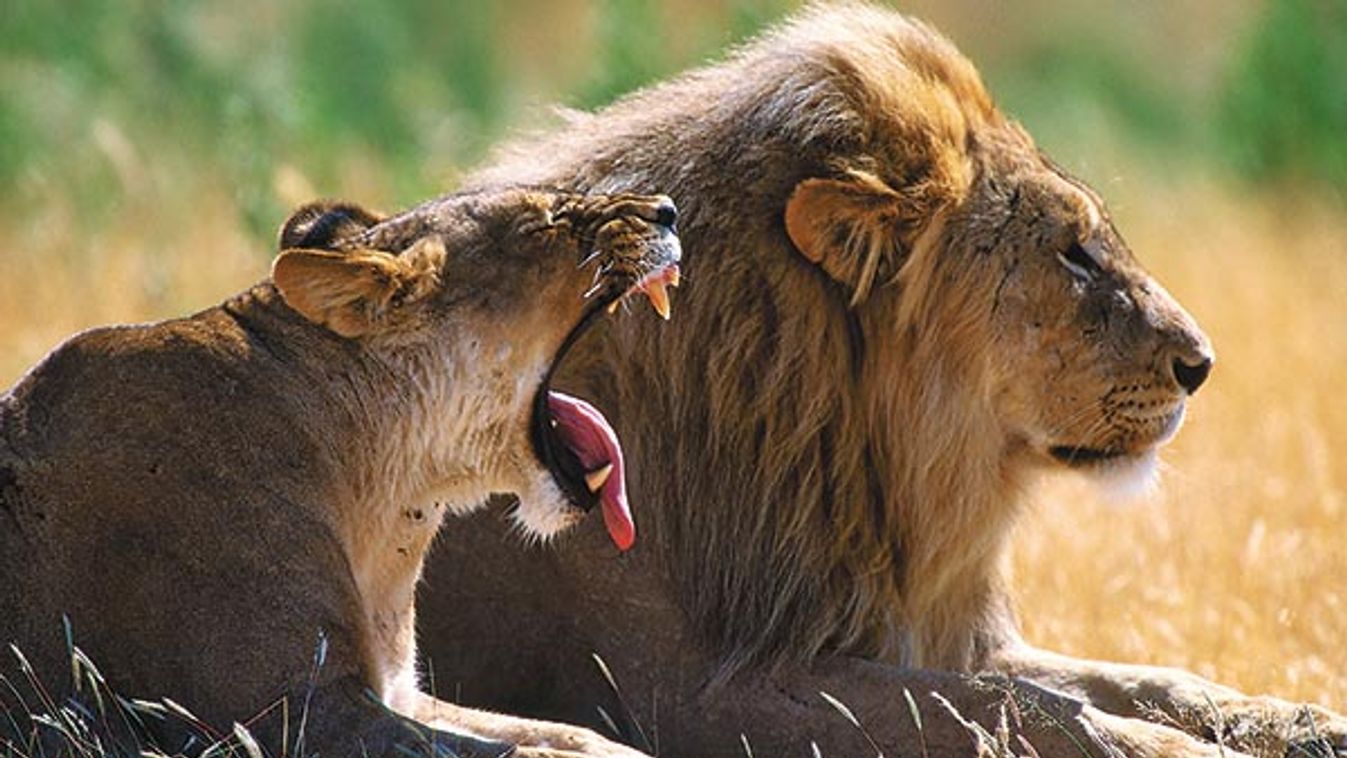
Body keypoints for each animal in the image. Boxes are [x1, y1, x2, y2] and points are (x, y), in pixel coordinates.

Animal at [0, 185, 678, 758]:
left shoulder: (398, 691)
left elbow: (571, 735)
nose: (667, 211)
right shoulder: (287, 715)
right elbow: (532, 752)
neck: (386, 505)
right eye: (548, 223)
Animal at [420, 5, 1347, 758]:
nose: (1201, 364)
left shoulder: (927, 629)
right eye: (1073, 252)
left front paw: (1306, 723)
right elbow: (1012, 708)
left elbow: (1141, 681)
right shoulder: (684, 689)